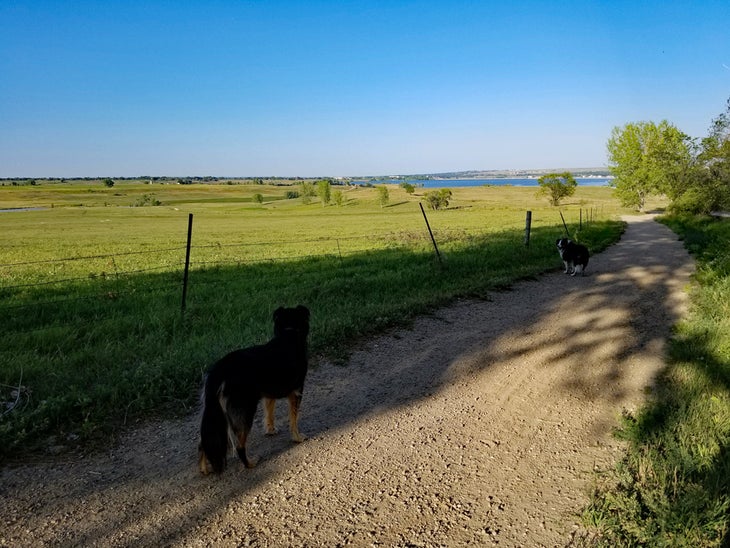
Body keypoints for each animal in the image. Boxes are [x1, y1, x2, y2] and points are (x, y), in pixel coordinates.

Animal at [199, 304, 310, 476]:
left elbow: (269, 413)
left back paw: (204, 468)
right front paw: (297, 437)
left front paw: (271, 430)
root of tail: (220, 369)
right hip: (244, 410)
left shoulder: (268, 394)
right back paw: (251, 463)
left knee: (203, 442)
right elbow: (293, 419)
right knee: (239, 446)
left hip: (216, 412)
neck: (288, 332)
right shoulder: (297, 391)